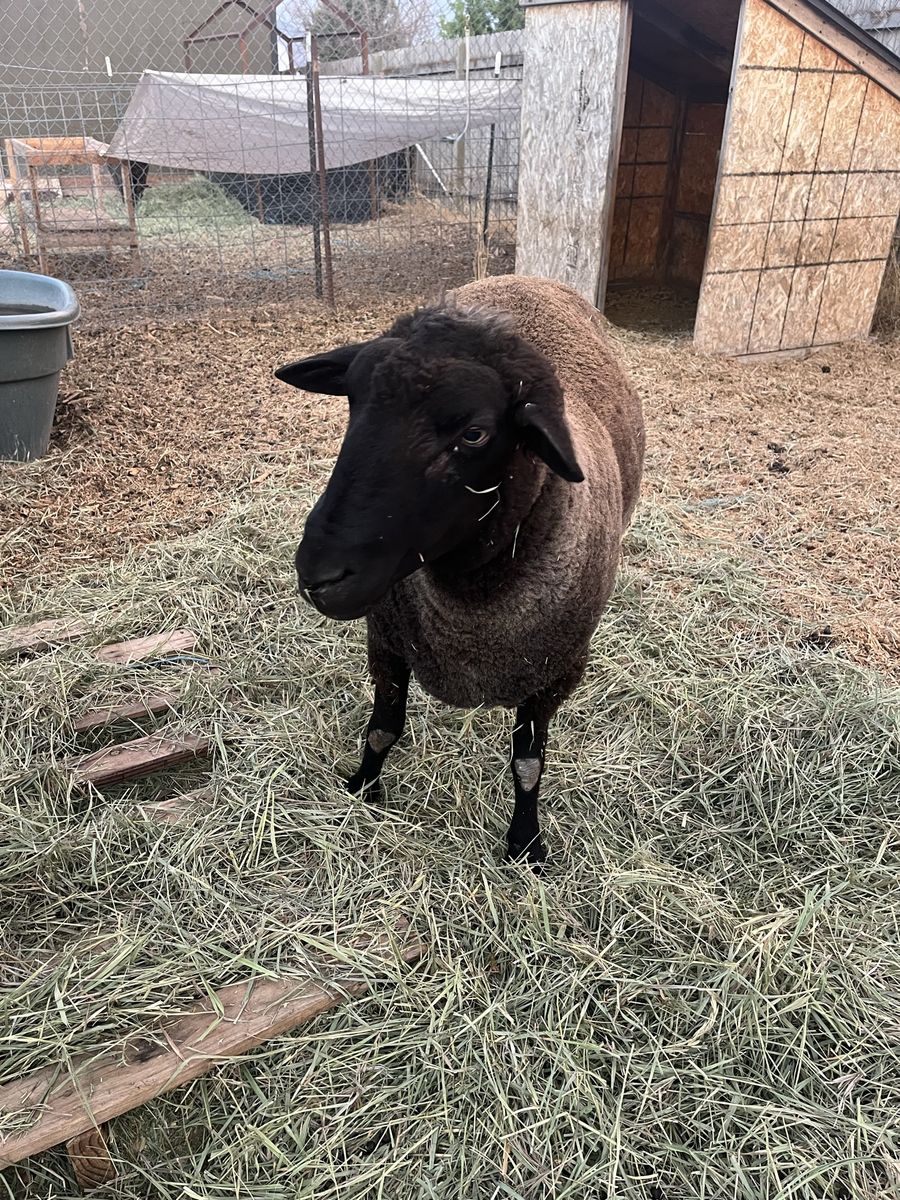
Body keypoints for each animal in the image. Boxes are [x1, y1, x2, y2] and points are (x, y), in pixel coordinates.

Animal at [274, 275, 645, 866]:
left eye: (474, 433)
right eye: (353, 401)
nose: (319, 575)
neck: (469, 598)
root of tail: (529, 278)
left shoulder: (556, 672)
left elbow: (528, 764)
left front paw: (525, 843)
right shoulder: (386, 639)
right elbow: (382, 730)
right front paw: (363, 788)